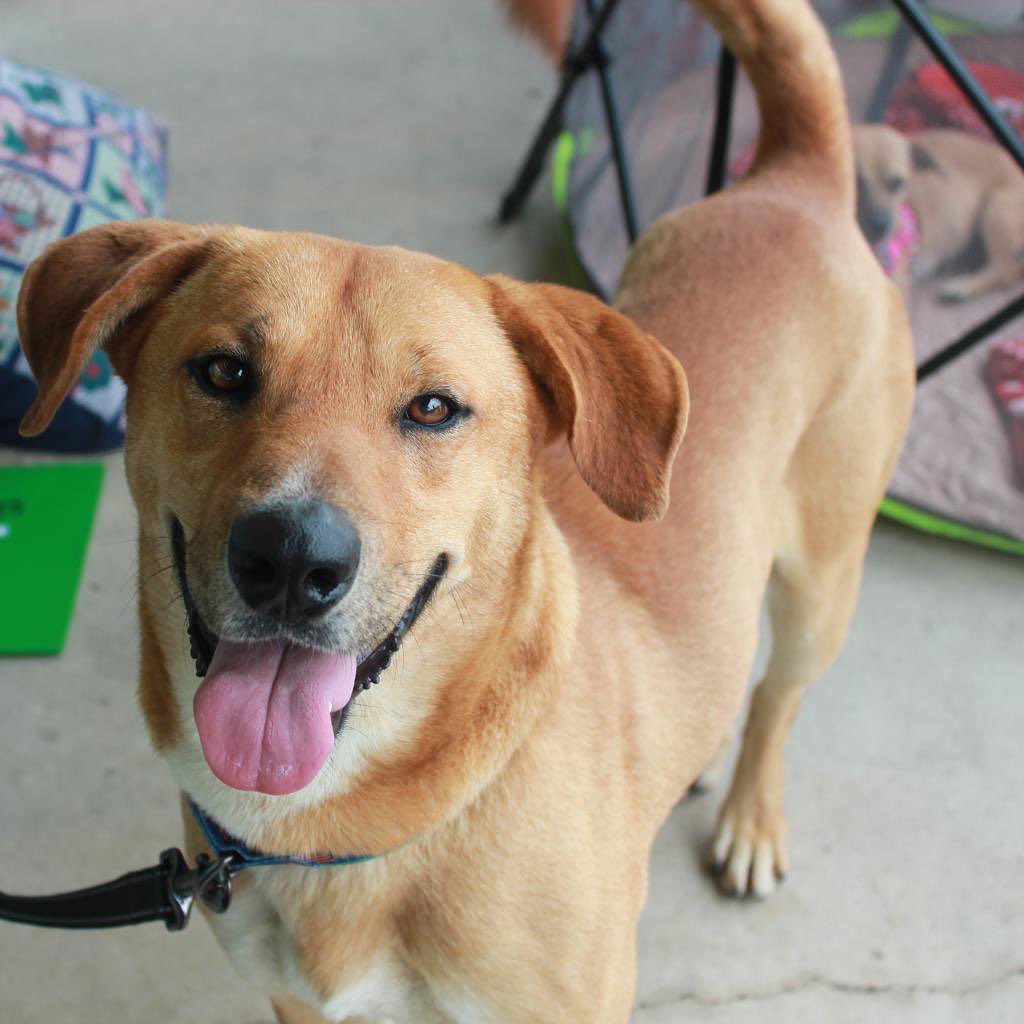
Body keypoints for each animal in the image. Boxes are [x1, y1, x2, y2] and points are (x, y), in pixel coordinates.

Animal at [14, 2, 913, 1024]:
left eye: (434, 407)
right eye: (223, 371)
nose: (291, 559)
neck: (340, 828)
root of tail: (796, 182)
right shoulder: (300, 1004)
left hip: (821, 588)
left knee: (778, 694)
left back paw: (752, 813)